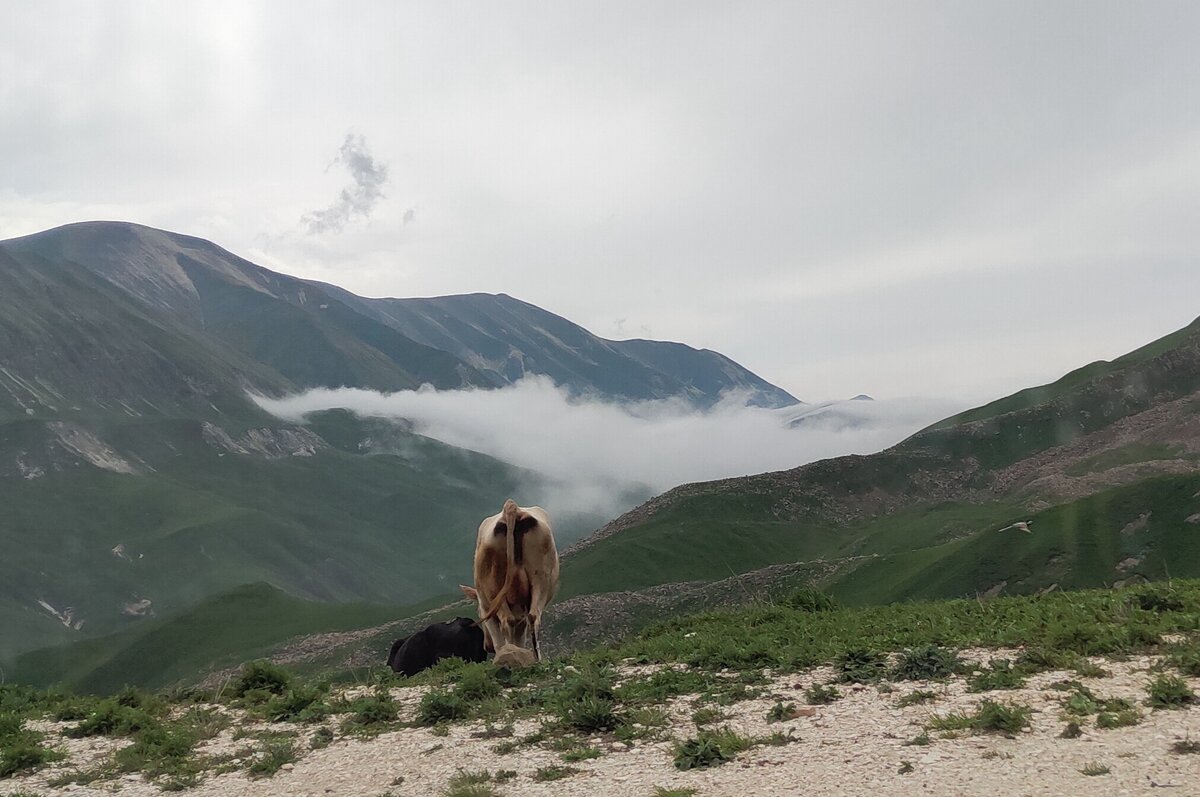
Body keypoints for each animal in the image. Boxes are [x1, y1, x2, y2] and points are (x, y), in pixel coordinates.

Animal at [460, 499, 559, 657]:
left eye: (477, 611)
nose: (487, 647)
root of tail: (512, 508)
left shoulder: (486, 608)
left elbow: (498, 638)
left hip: (494, 587)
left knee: (508, 621)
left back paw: (509, 654)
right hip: (541, 580)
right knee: (533, 617)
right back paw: (536, 658)